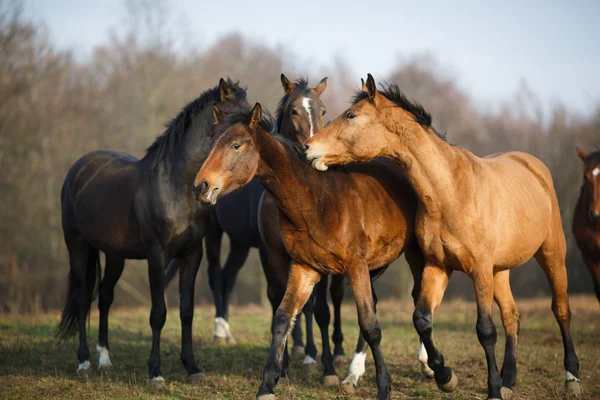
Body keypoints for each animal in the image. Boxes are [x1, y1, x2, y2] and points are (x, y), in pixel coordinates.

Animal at [56, 79, 248, 384]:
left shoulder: (192, 255)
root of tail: (79, 168)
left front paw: (192, 368)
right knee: (83, 299)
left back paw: (105, 360)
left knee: (105, 298)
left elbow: (186, 311)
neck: (175, 186)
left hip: (115, 256)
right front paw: (155, 373)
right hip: (78, 247)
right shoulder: (157, 257)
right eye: (232, 119)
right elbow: (158, 313)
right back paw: (84, 362)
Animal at [191, 102, 422, 400]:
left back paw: (433, 367)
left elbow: (370, 325)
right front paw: (267, 385)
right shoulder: (305, 268)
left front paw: (384, 387)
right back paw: (355, 373)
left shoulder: (355, 267)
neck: (317, 200)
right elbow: (283, 318)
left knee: (419, 299)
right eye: (212, 143)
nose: (201, 186)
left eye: (236, 144)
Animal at [302, 73, 584, 398]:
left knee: (561, 310)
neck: (450, 192)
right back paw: (509, 379)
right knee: (512, 315)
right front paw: (444, 375)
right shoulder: (438, 267)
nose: (308, 148)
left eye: (350, 115)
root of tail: (534, 166)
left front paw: (491, 389)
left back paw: (571, 377)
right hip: (500, 270)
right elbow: (422, 320)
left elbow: (485, 331)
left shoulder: (479, 271)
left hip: (551, 255)